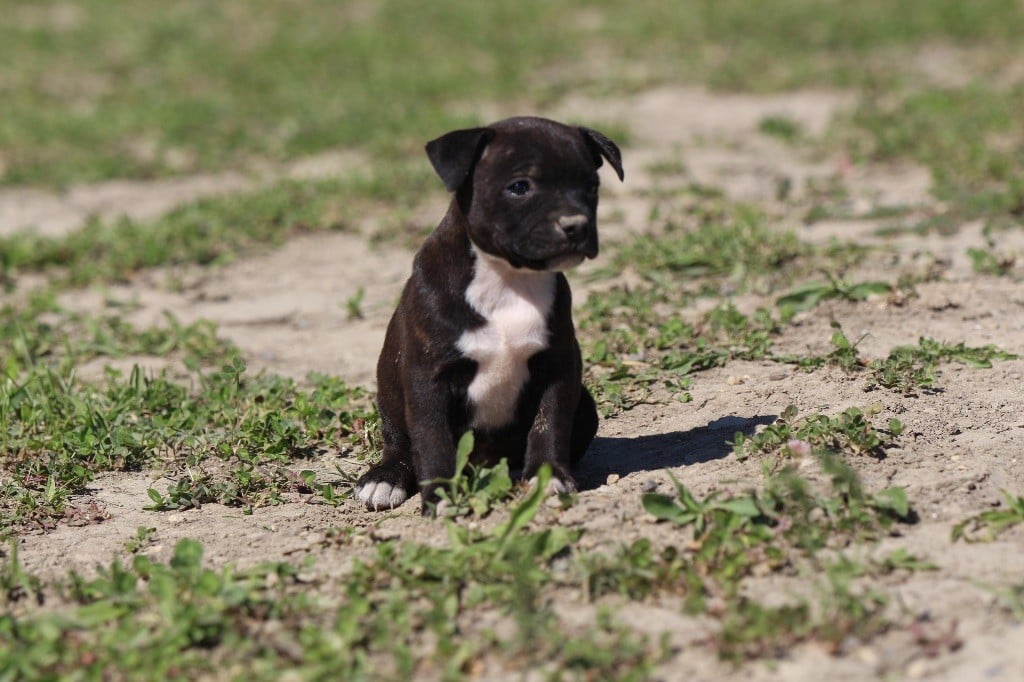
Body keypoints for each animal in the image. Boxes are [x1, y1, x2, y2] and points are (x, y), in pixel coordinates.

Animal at [352, 116, 622, 509]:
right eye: (519, 187)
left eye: (591, 186)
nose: (576, 225)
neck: (507, 279)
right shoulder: (428, 379)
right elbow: (432, 440)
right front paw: (440, 496)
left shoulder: (557, 368)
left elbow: (549, 425)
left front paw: (548, 477)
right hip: (392, 402)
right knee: (400, 444)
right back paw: (385, 479)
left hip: (583, 403)